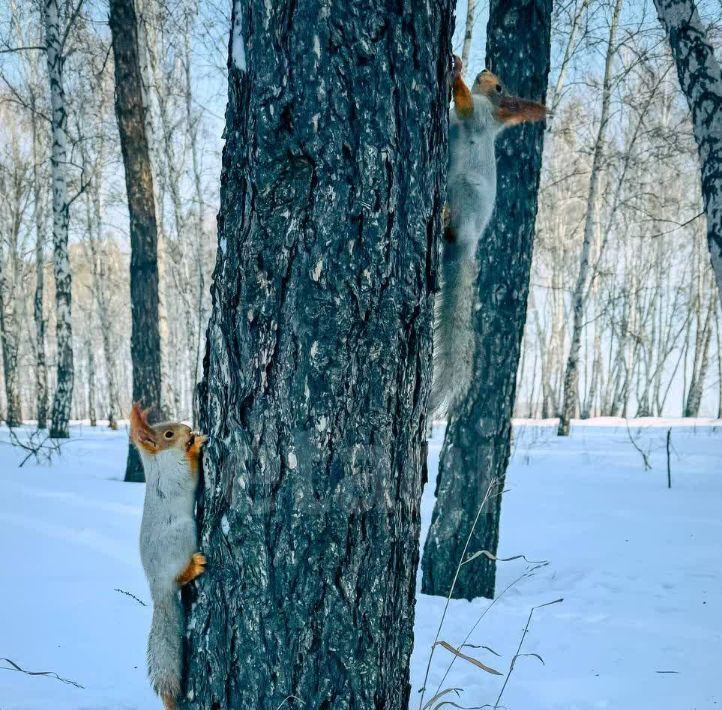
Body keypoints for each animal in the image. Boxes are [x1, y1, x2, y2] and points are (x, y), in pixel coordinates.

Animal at [128, 404, 207, 710]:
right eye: (169, 434)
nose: (188, 429)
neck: (159, 461)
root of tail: (158, 588)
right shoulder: (175, 478)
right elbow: (190, 474)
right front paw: (195, 445)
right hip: (184, 533)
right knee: (180, 575)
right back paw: (194, 566)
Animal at [428, 58, 544, 420]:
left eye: (500, 87)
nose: (484, 70)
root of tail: (466, 247)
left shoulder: (476, 115)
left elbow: (465, 103)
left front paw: (456, 69)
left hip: (466, 191)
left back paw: (446, 215)